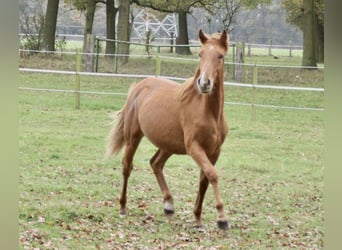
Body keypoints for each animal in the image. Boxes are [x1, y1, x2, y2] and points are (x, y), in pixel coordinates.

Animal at [105, 29, 230, 230]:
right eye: (200, 54)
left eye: (220, 56)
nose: (204, 83)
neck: (209, 112)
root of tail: (137, 87)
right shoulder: (195, 148)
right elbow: (212, 175)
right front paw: (222, 218)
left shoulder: (214, 151)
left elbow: (204, 180)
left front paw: (198, 218)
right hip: (133, 138)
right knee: (126, 167)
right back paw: (123, 207)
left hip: (168, 145)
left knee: (155, 163)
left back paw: (169, 205)